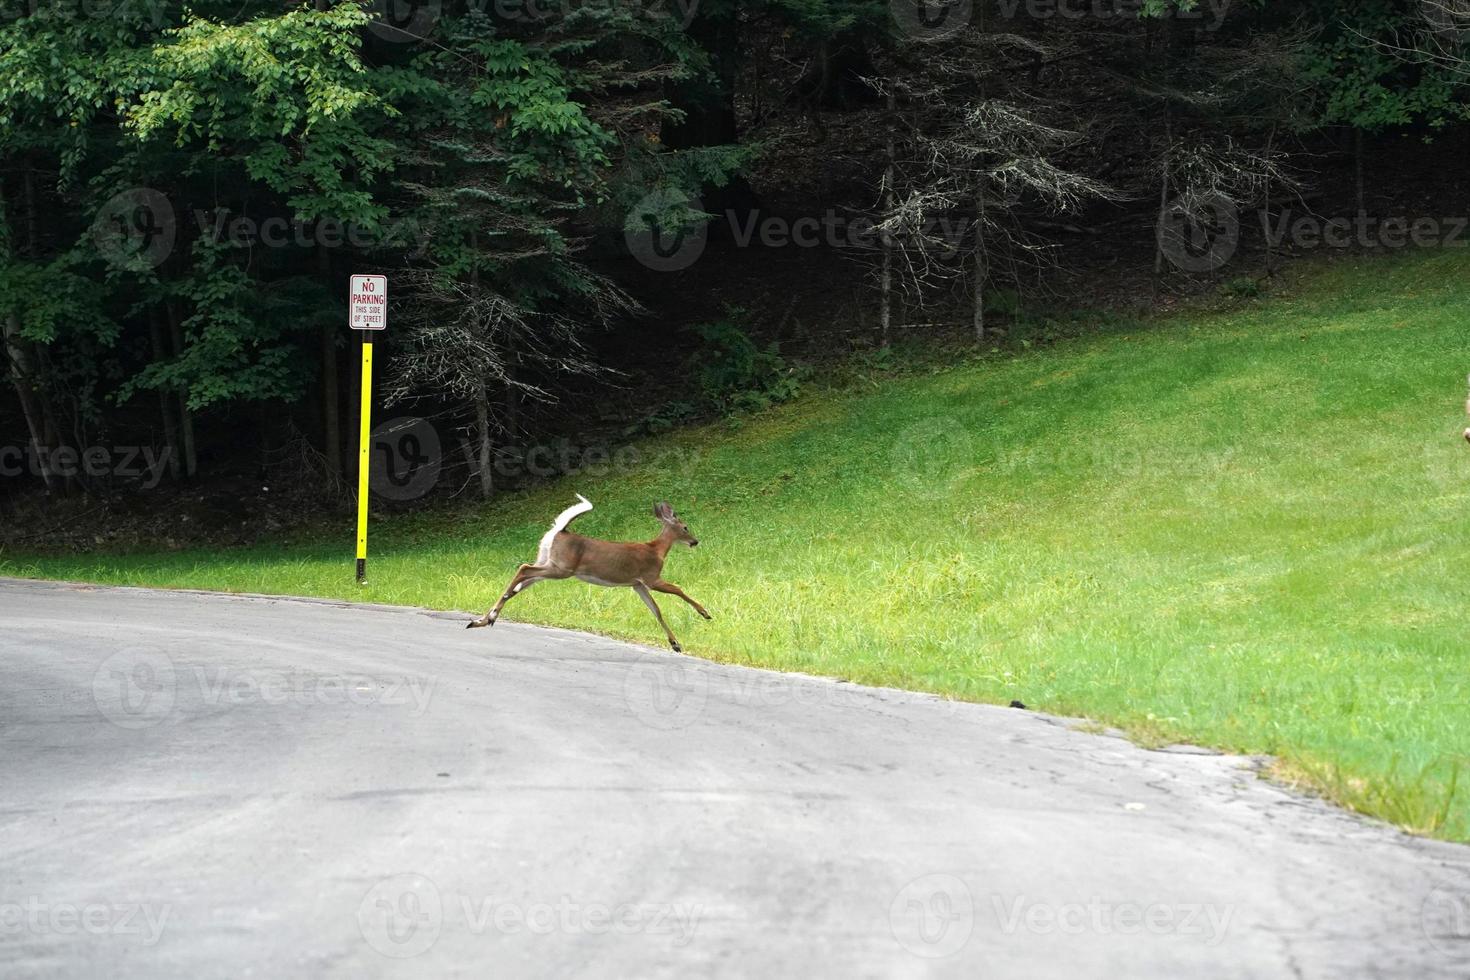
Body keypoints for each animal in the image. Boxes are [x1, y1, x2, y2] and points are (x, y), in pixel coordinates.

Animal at [461, 499, 708, 652]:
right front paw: (705, 613)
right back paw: (488, 617)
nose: (695, 541)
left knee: (519, 581)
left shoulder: (636, 584)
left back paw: (483, 619)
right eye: (685, 527)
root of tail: (559, 531)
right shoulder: (650, 577)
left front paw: (675, 643)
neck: (656, 550)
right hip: (562, 568)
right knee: (523, 568)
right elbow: (677, 590)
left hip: (549, 563)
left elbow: (656, 610)